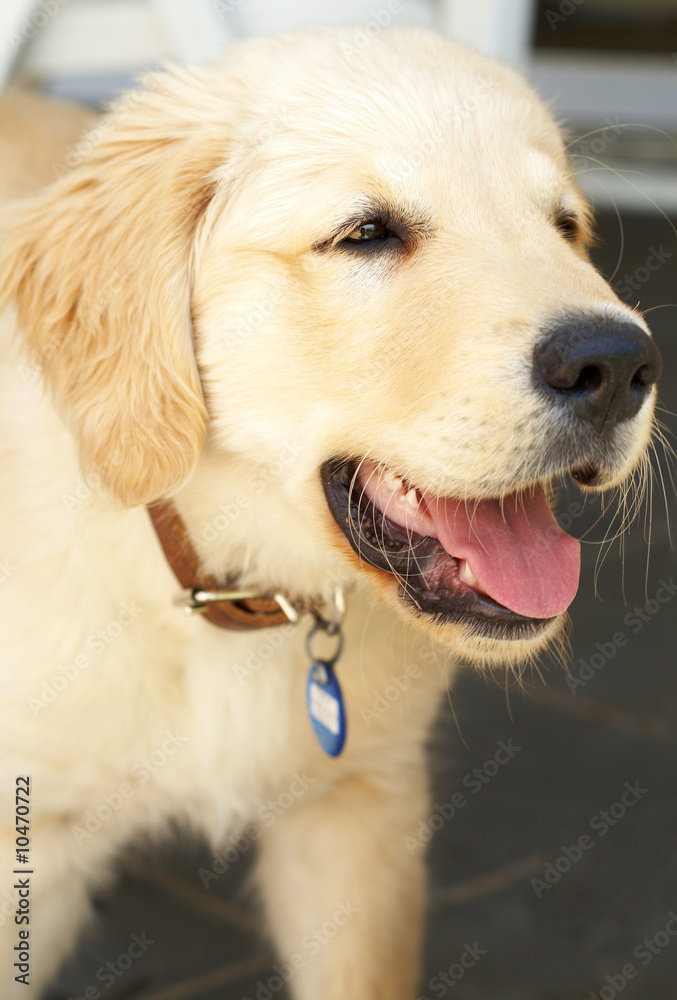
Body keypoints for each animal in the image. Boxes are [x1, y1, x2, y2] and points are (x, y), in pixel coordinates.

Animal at [0, 27, 660, 996]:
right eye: (366, 234)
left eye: (565, 227)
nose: (616, 365)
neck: (218, 583)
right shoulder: (35, 840)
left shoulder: (358, 814)